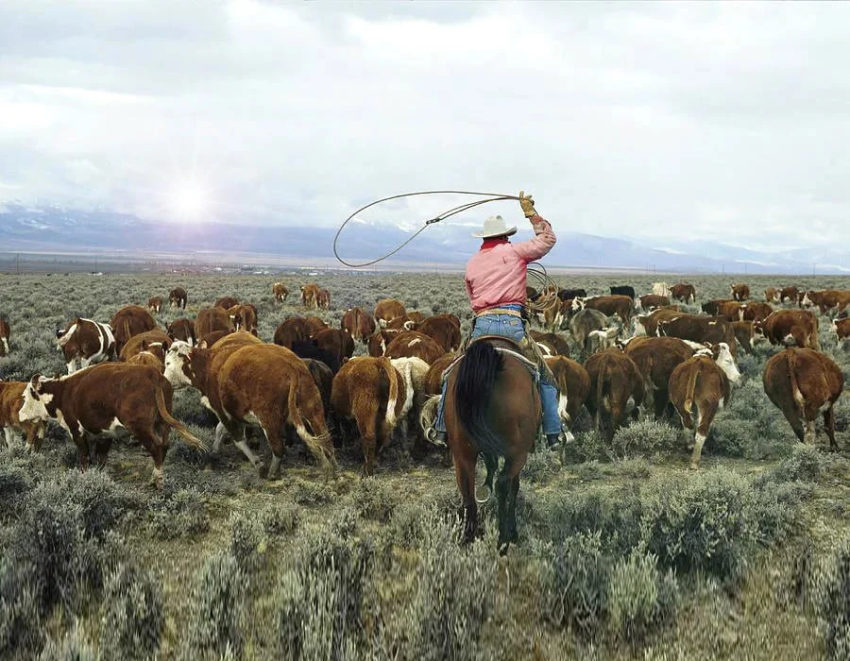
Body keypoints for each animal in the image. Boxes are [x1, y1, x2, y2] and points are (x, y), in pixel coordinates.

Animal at [19, 360, 205, 484]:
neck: (64, 391)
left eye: (29, 394)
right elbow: (101, 457)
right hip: (162, 423)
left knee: (157, 447)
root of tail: (152, 374)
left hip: (141, 427)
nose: (20, 414)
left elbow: (84, 456)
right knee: (165, 444)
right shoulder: (105, 434)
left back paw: (156, 479)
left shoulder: (76, 430)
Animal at [440, 336, 540, 552]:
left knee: (467, 491)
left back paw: (468, 537)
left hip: (462, 453)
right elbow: (514, 487)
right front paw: (513, 532)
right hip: (517, 453)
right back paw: (503, 538)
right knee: (503, 484)